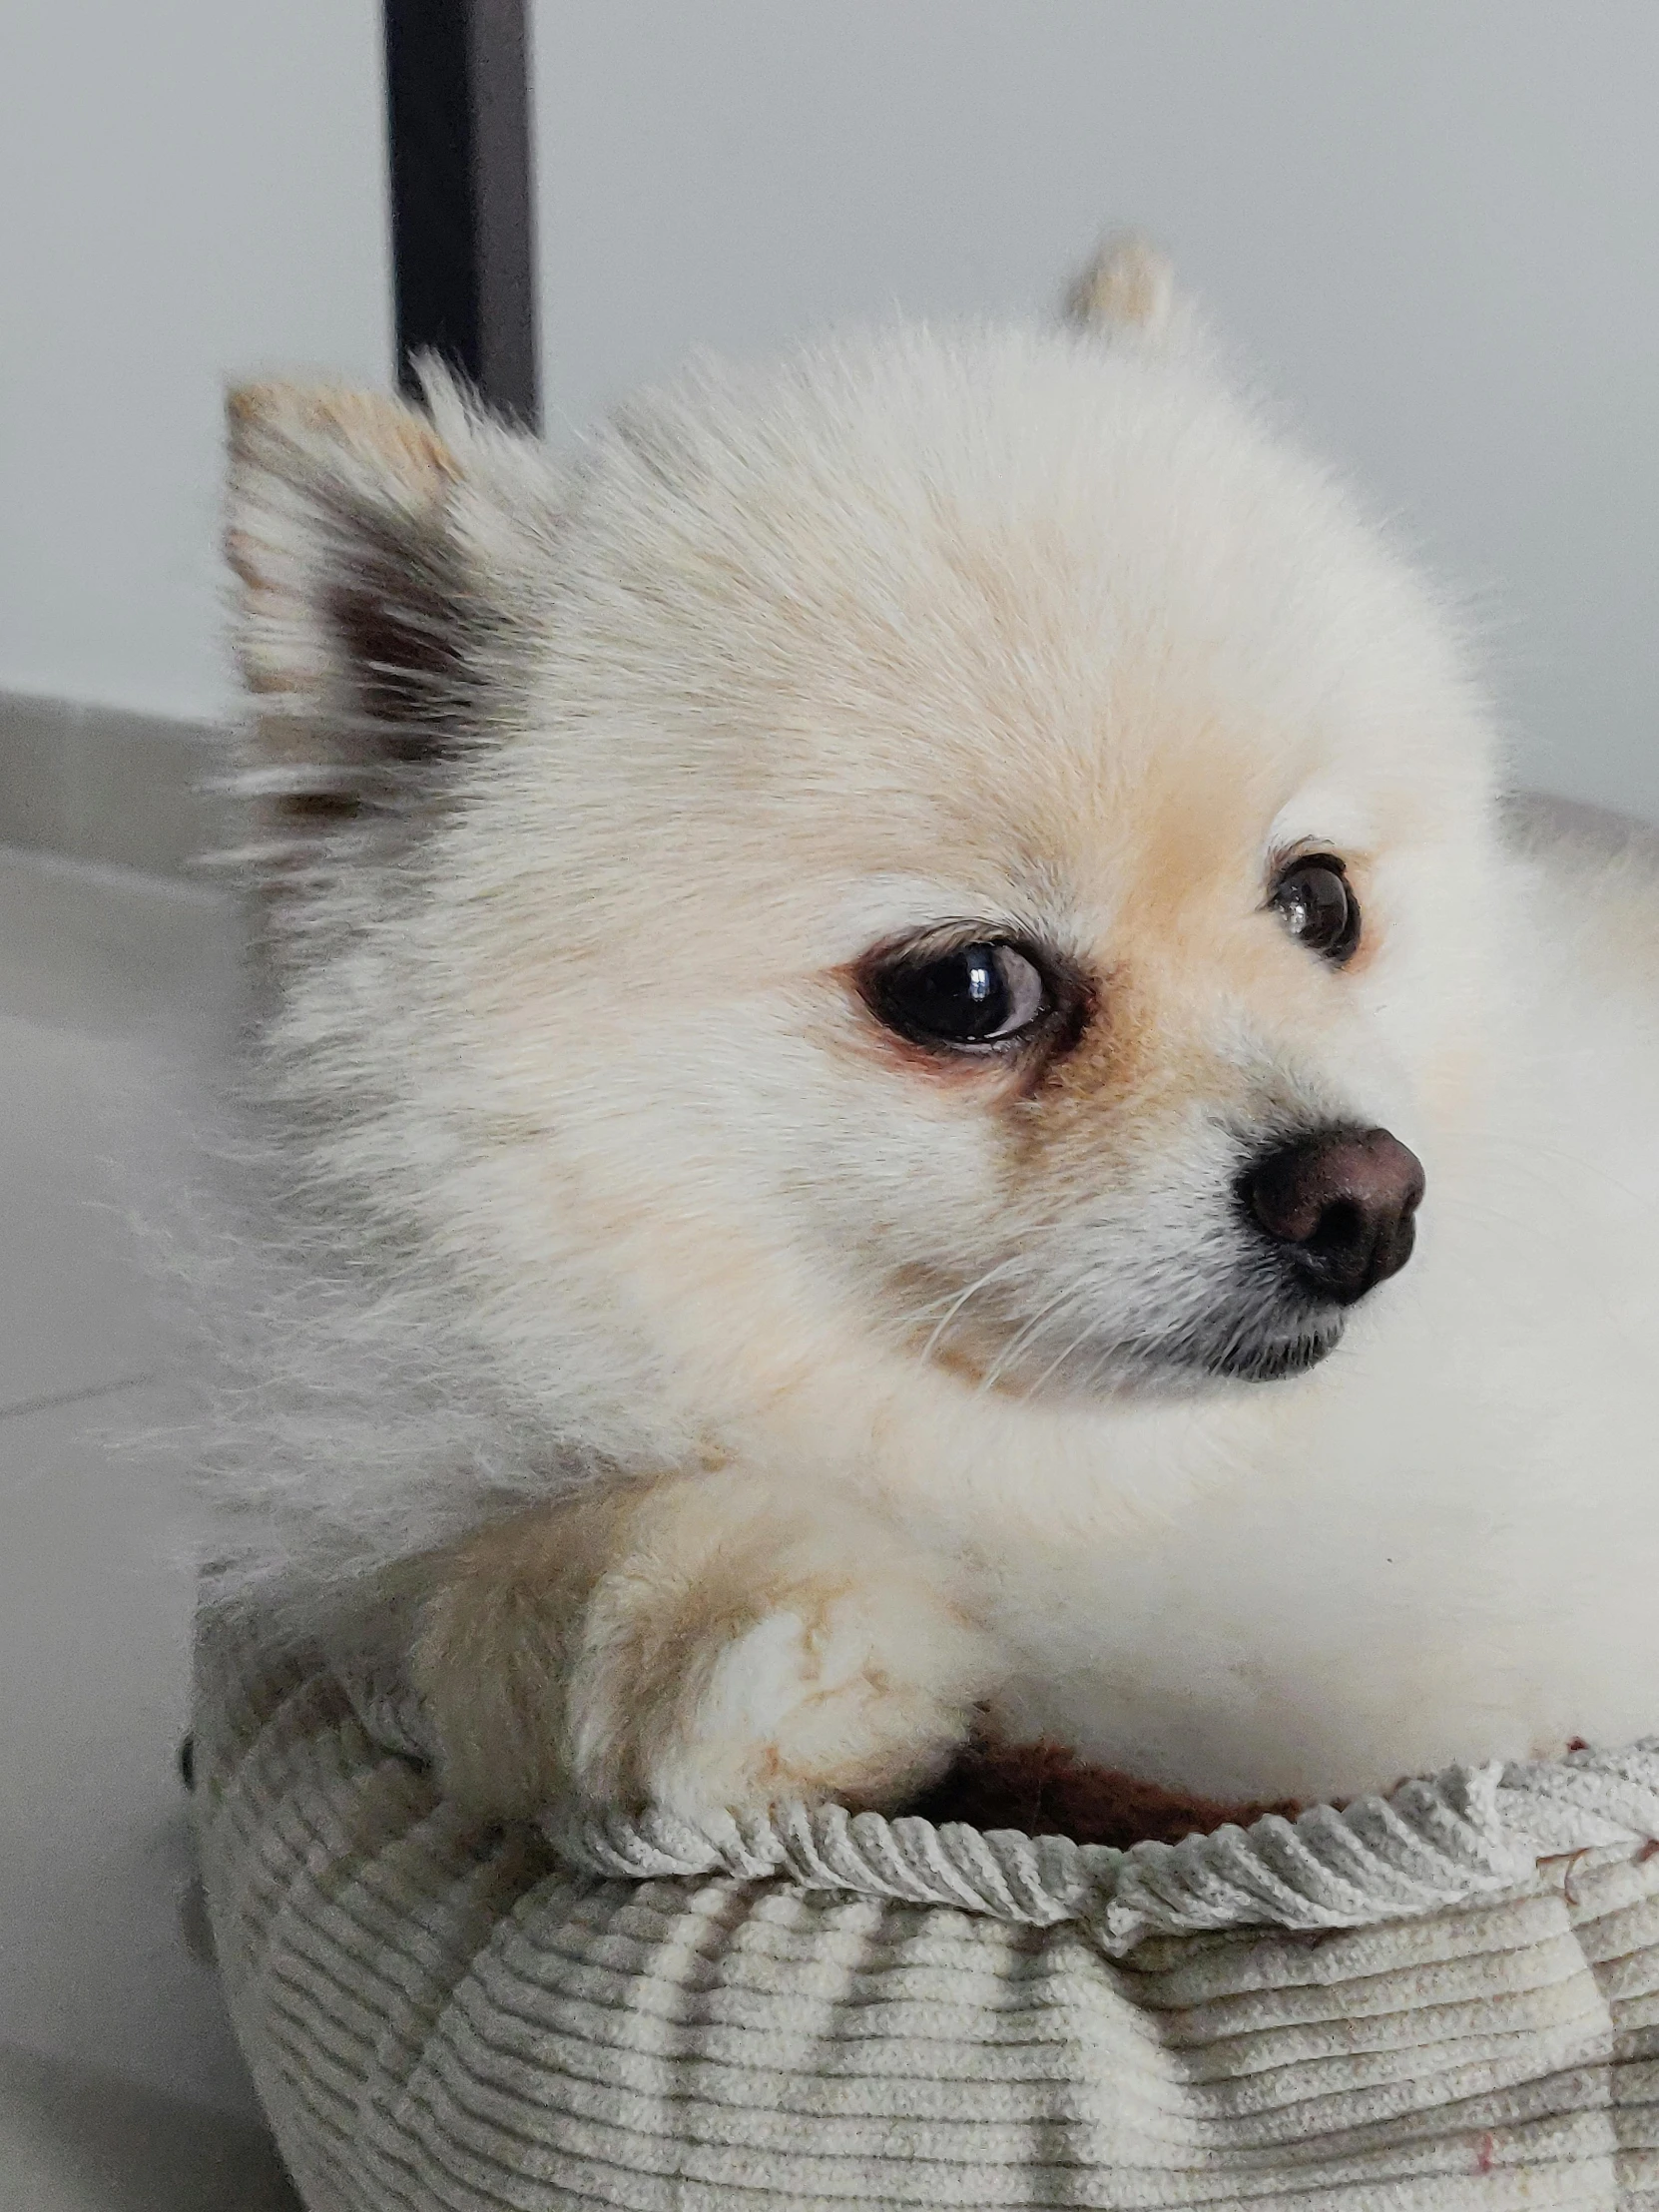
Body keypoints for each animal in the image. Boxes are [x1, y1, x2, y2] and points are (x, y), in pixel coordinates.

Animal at [214, 238, 1659, 1831]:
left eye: (1319, 901)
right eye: (970, 989)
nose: (1361, 1197)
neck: (1097, 1485)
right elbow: (487, 1591)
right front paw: (734, 1634)